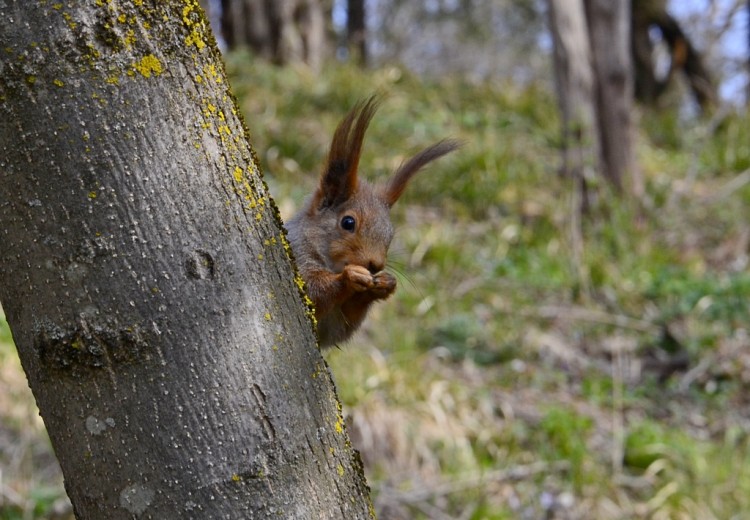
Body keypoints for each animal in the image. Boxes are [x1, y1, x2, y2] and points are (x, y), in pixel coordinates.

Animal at [286, 99, 458, 348]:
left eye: (391, 233)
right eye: (348, 222)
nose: (375, 265)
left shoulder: (336, 323)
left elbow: (344, 325)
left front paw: (385, 284)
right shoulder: (298, 255)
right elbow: (313, 291)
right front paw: (350, 278)